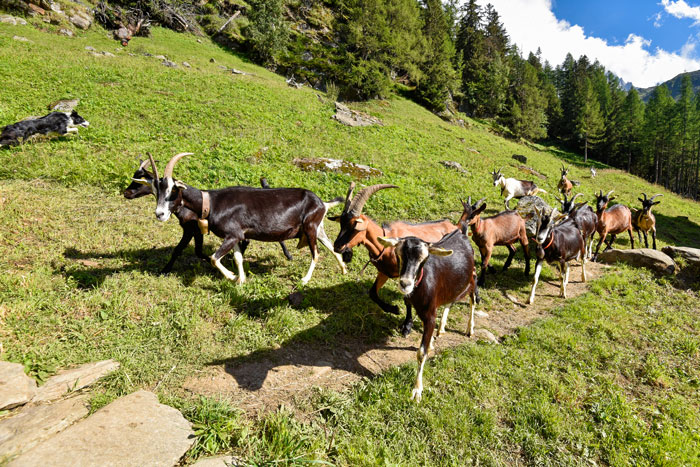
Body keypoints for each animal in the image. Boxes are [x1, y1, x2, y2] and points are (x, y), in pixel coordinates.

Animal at [124, 160, 292, 274]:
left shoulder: (192, 229)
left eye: (140, 182)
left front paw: (165, 270)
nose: (126, 193)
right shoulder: (193, 229)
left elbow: (185, 250)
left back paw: (288, 255)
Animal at [146, 154, 348, 286]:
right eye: (156, 192)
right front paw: (241, 279)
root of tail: (323, 203)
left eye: (173, 190)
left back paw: (305, 279)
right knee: (332, 247)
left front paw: (232, 277)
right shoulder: (236, 235)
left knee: (316, 253)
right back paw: (344, 269)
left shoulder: (233, 234)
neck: (211, 203)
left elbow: (214, 258)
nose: (159, 214)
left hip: (310, 227)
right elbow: (238, 258)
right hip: (318, 227)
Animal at [330, 183, 456, 336]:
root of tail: (453, 225)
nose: (337, 247)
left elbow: (407, 299)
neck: (386, 246)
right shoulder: (384, 273)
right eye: (341, 223)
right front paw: (393, 309)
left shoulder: (408, 276)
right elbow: (373, 293)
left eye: (354, 227)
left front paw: (407, 326)